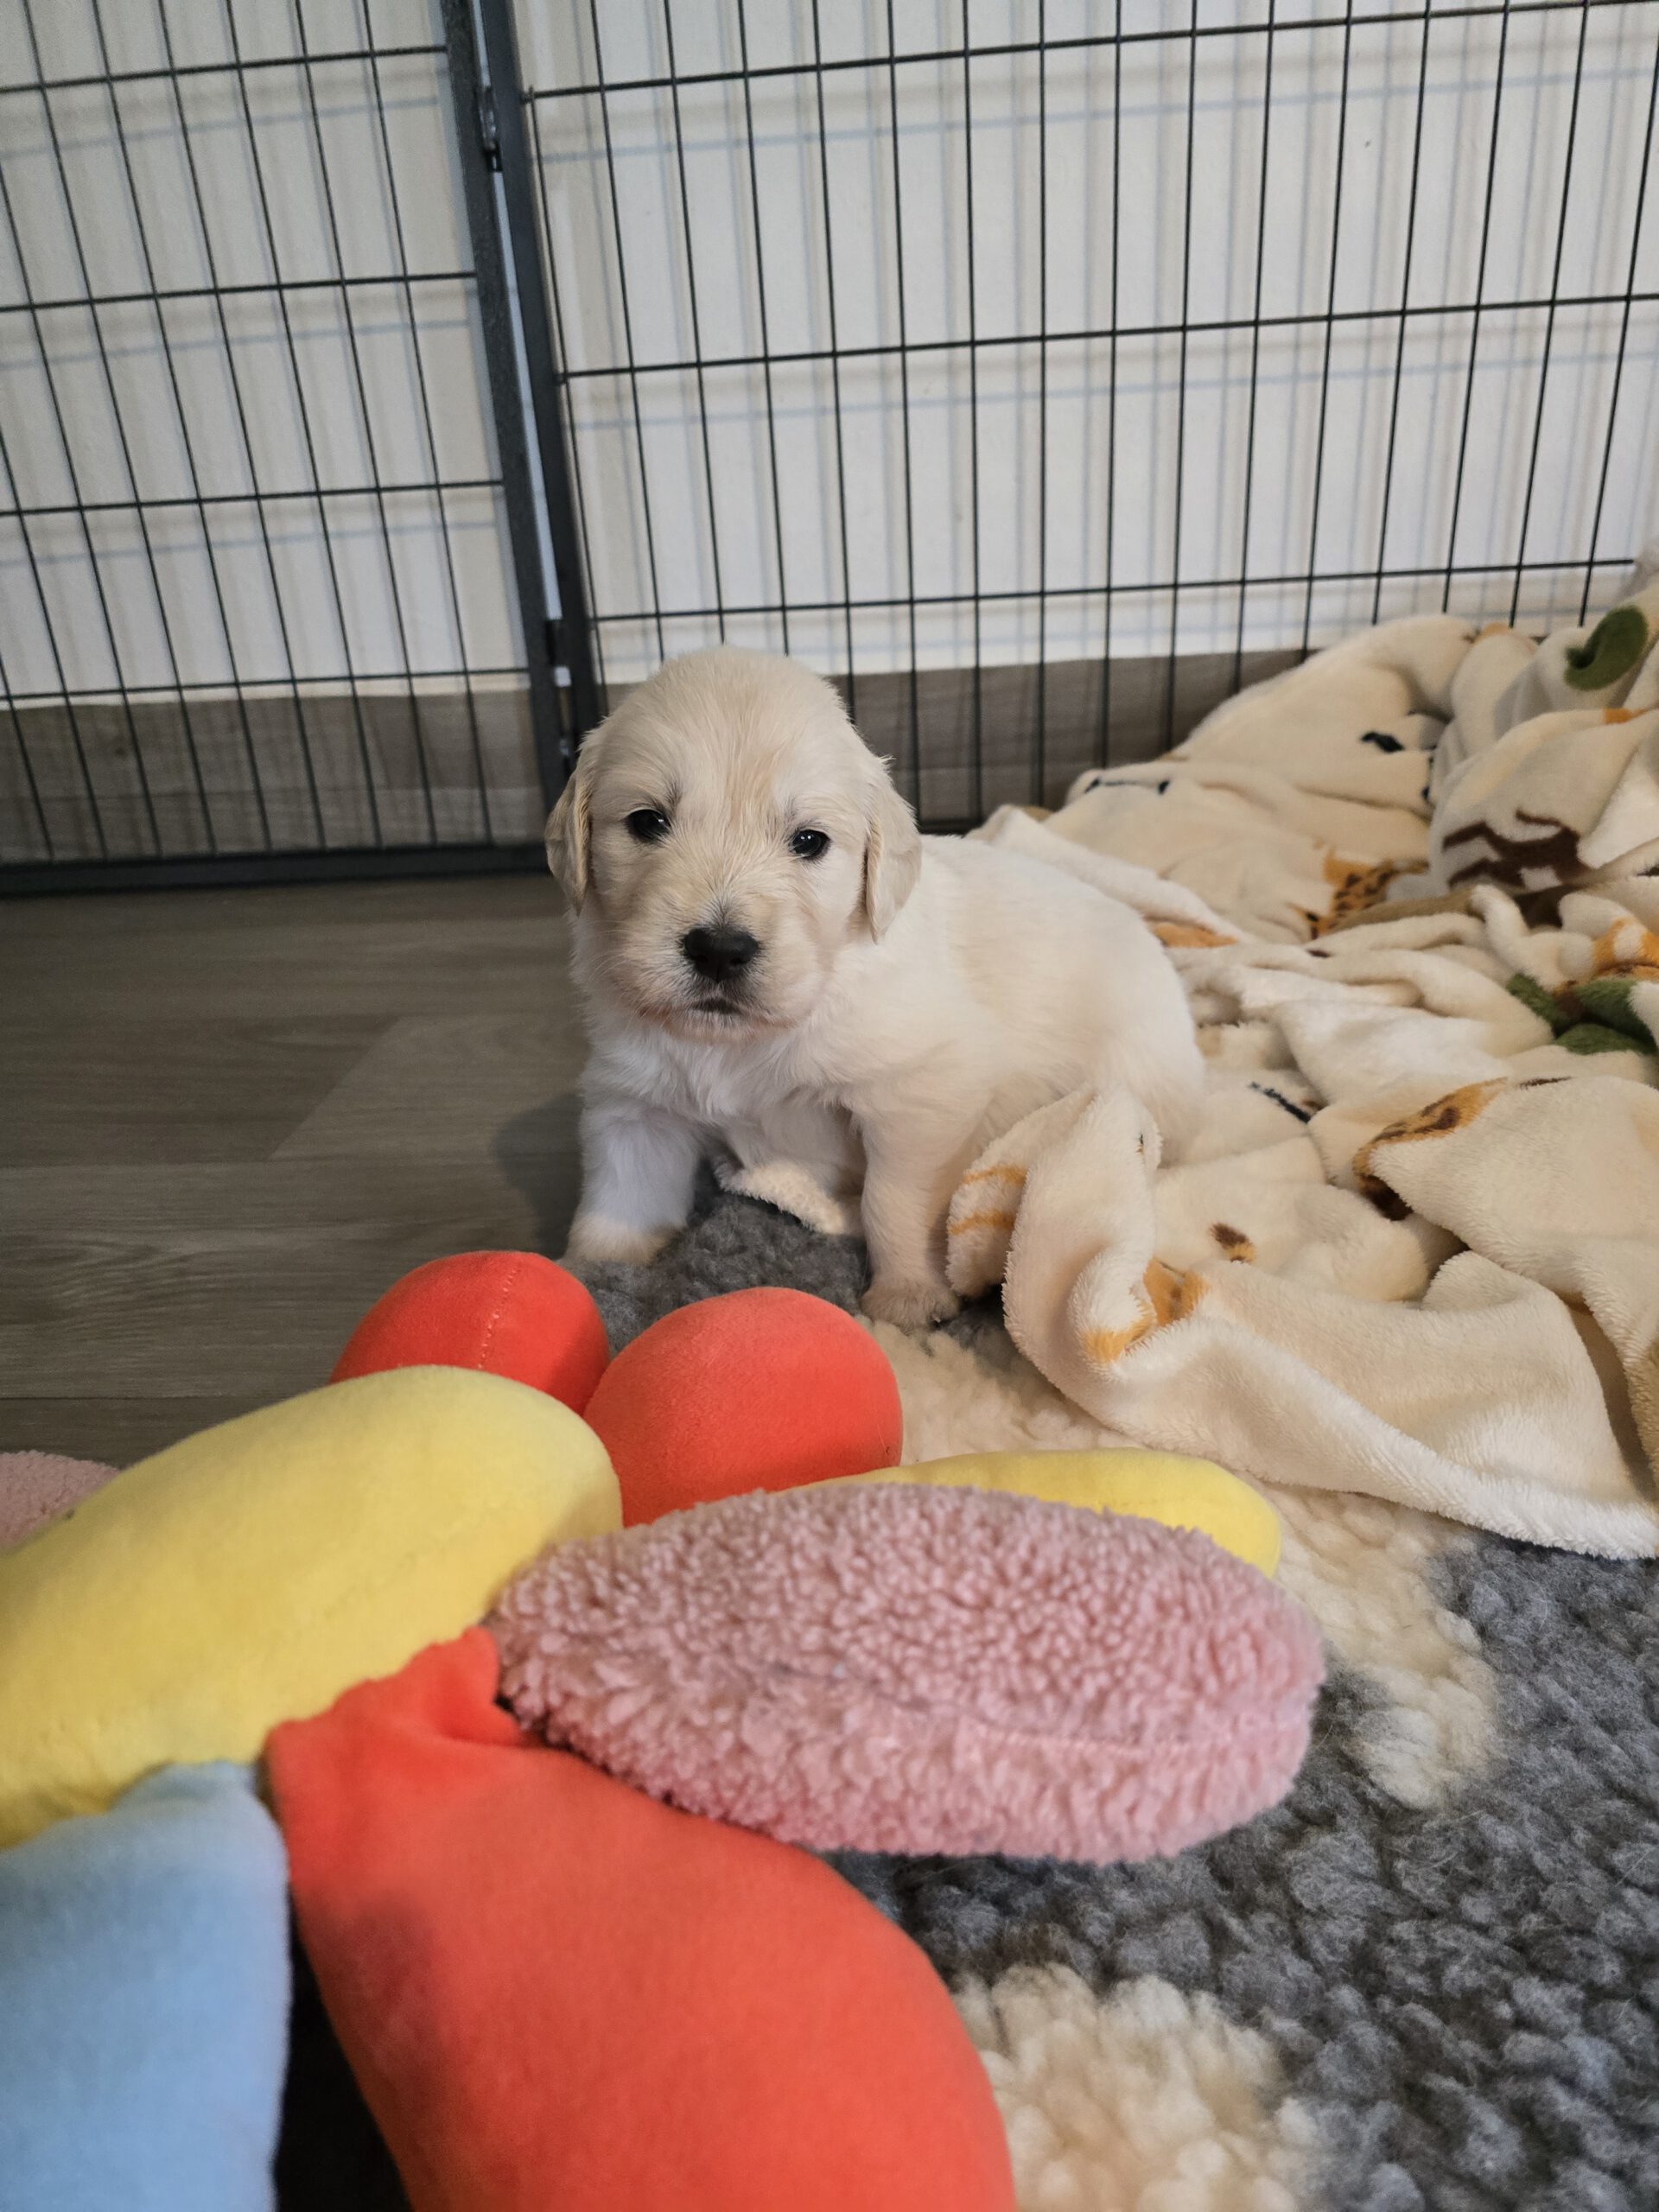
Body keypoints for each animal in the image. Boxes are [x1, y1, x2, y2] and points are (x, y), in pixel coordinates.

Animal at [549, 648, 1205, 1328]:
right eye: (647, 822)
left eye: (809, 840)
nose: (719, 949)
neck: (747, 1039)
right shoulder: (635, 1104)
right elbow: (620, 1199)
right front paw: (586, 1274)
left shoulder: (918, 1095)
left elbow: (894, 1197)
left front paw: (909, 1297)